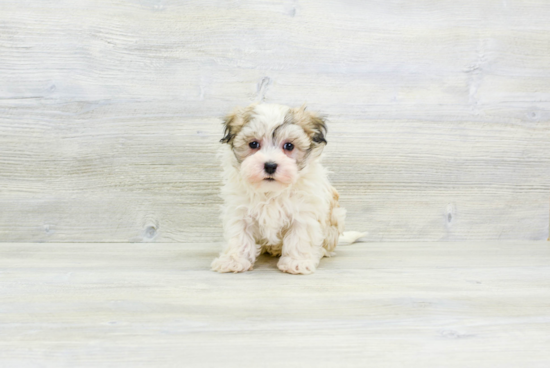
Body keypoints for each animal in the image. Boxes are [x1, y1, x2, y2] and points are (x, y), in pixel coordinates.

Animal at [211, 102, 362, 274]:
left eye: (289, 146)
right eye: (253, 144)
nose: (270, 165)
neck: (271, 191)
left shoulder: (304, 212)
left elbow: (299, 238)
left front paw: (297, 262)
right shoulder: (239, 211)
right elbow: (239, 236)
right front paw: (233, 261)